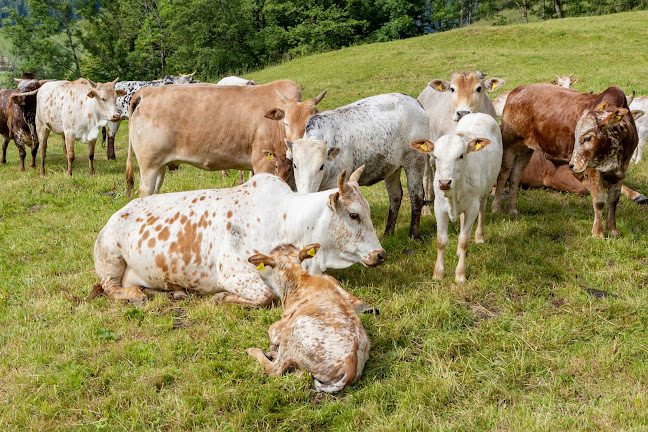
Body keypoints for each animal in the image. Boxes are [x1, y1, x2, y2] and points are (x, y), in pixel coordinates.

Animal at [94, 167, 388, 306]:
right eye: (353, 215)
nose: (380, 254)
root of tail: (116, 215)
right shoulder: (233, 273)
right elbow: (267, 297)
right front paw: (221, 297)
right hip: (112, 259)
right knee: (110, 287)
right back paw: (136, 294)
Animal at [124, 80, 324, 197]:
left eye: (310, 122)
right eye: (286, 123)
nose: (296, 149)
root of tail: (148, 92)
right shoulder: (263, 164)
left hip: (160, 166)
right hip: (149, 166)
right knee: (145, 191)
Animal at [246, 243, 370, 394]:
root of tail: (350, 367)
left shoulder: (280, 328)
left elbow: (271, 329)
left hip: (295, 329)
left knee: (275, 370)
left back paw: (255, 351)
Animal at [492, 83, 636, 236]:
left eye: (588, 137)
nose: (573, 164)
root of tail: (517, 90)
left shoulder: (621, 169)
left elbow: (614, 200)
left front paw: (613, 230)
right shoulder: (592, 168)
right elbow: (599, 200)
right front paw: (598, 233)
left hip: (526, 149)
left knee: (515, 175)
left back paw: (512, 210)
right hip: (509, 143)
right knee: (503, 174)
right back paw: (496, 208)